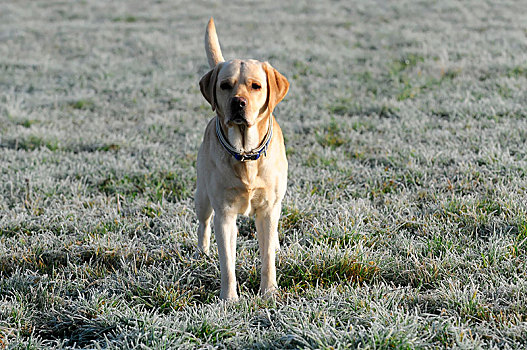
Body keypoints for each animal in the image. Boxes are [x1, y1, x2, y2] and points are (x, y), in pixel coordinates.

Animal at [197, 17, 290, 300]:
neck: (246, 154)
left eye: (255, 86)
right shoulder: (224, 214)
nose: (238, 103)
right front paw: (229, 298)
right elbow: (227, 262)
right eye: (225, 85)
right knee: (203, 224)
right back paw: (201, 252)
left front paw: (269, 292)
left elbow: (268, 257)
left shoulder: (269, 209)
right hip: (202, 197)